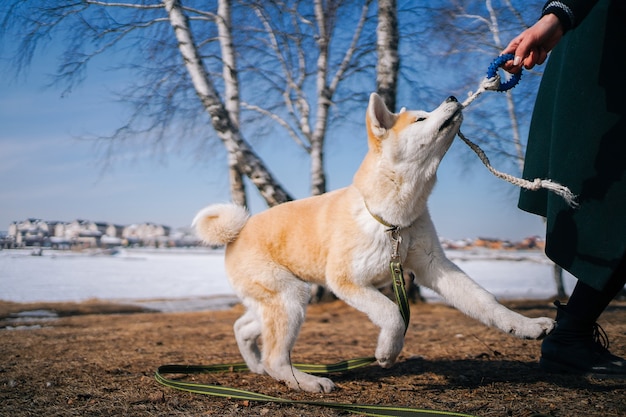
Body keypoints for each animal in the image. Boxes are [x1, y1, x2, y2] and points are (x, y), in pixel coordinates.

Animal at [193, 93, 552, 394]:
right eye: (420, 118)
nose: (452, 97)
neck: (392, 220)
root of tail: (238, 231)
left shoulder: (434, 266)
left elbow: (486, 302)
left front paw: (526, 326)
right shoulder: (346, 281)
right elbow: (393, 315)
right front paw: (387, 352)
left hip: (277, 301)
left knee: (244, 328)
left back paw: (257, 367)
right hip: (290, 297)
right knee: (275, 355)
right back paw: (306, 382)